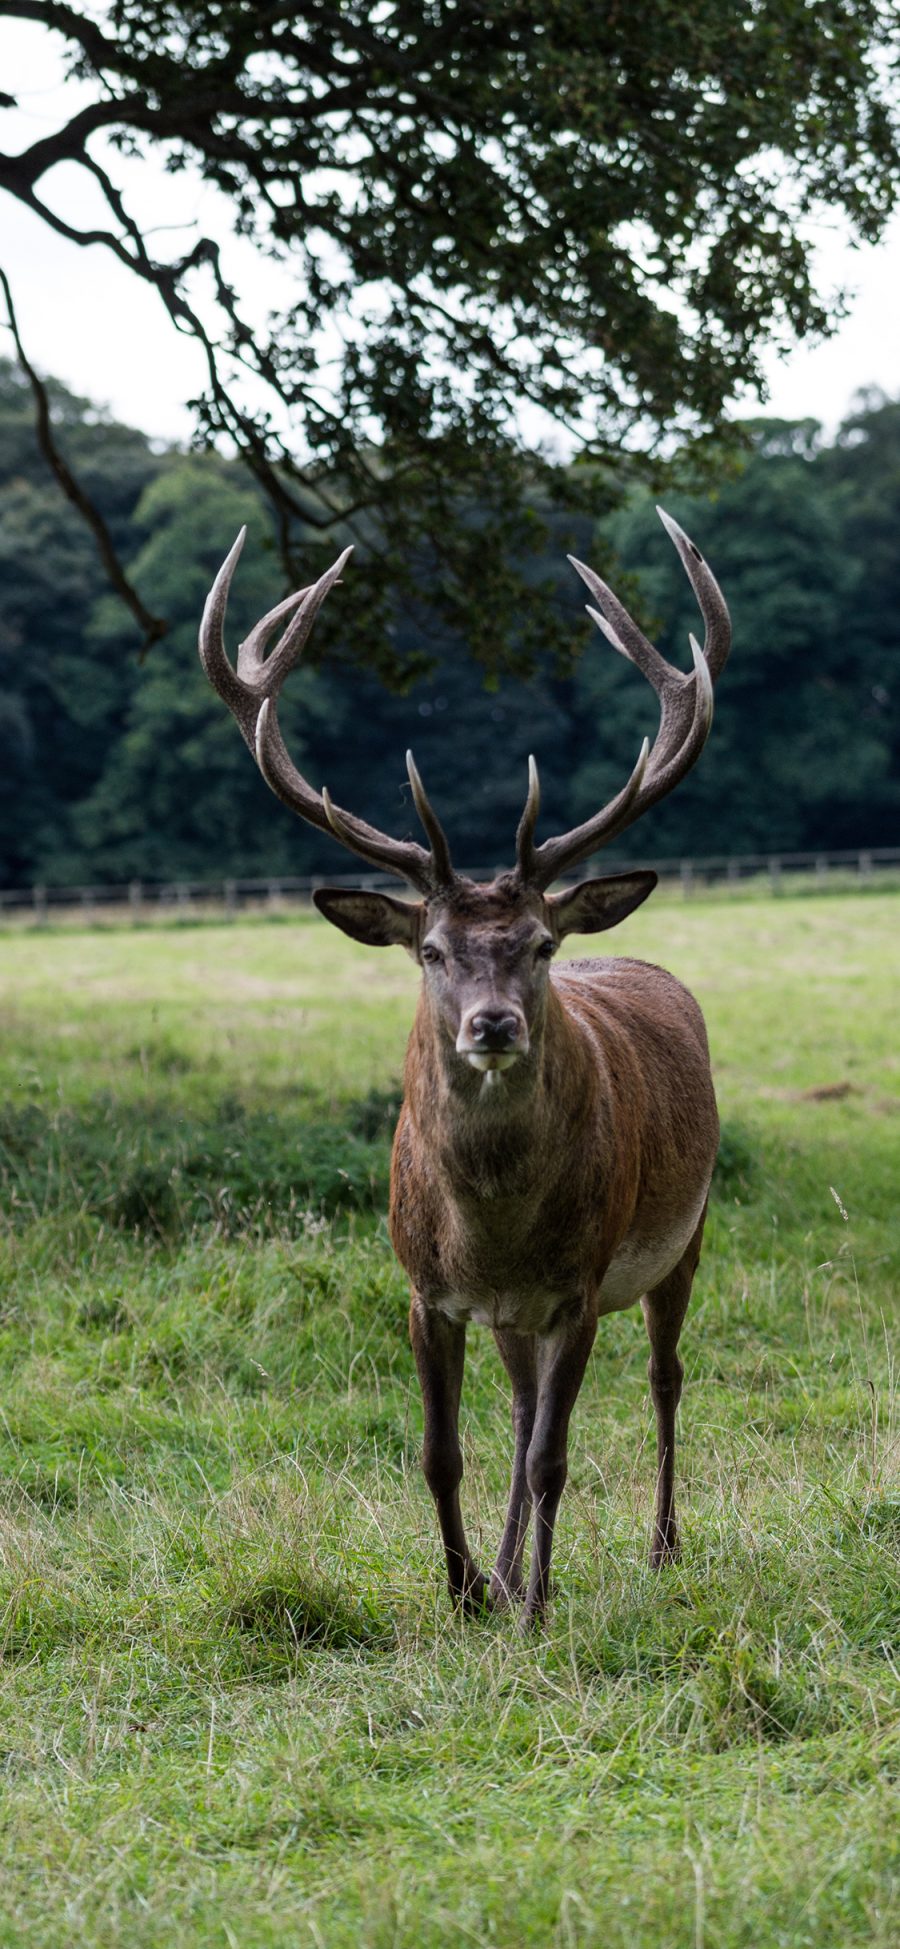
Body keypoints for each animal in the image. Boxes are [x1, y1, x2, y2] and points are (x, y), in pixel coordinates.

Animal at [198, 514, 732, 1629]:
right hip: (518, 1315)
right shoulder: (424, 1286)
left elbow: (554, 1459)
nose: (492, 1025)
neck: (492, 1227)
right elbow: (444, 1453)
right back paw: (507, 1563)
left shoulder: (580, 1282)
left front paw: (533, 1609)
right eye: (432, 950)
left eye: (539, 943)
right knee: (525, 1406)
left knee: (663, 1377)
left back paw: (655, 1546)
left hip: (685, 1231)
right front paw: (465, 1590)